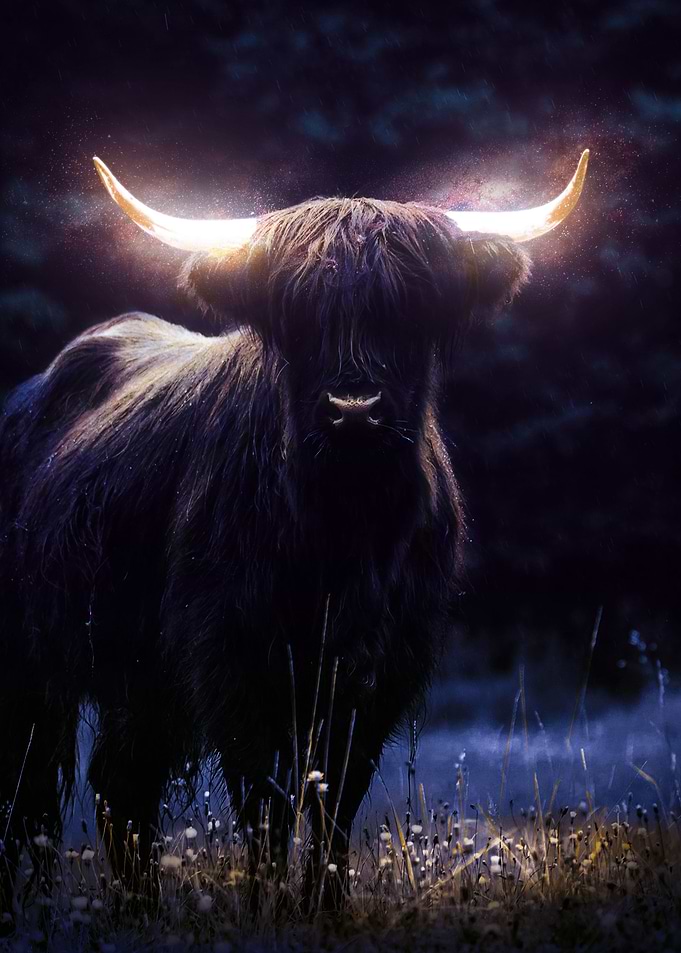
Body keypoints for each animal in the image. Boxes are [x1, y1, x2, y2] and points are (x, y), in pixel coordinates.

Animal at [0, 150, 588, 914]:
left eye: (408, 312)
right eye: (299, 314)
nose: (353, 407)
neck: (342, 534)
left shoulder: (378, 673)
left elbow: (336, 798)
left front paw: (326, 906)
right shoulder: (234, 661)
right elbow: (266, 800)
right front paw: (268, 904)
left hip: (139, 675)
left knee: (118, 781)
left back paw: (139, 903)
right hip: (32, 663)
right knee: (35, 788)